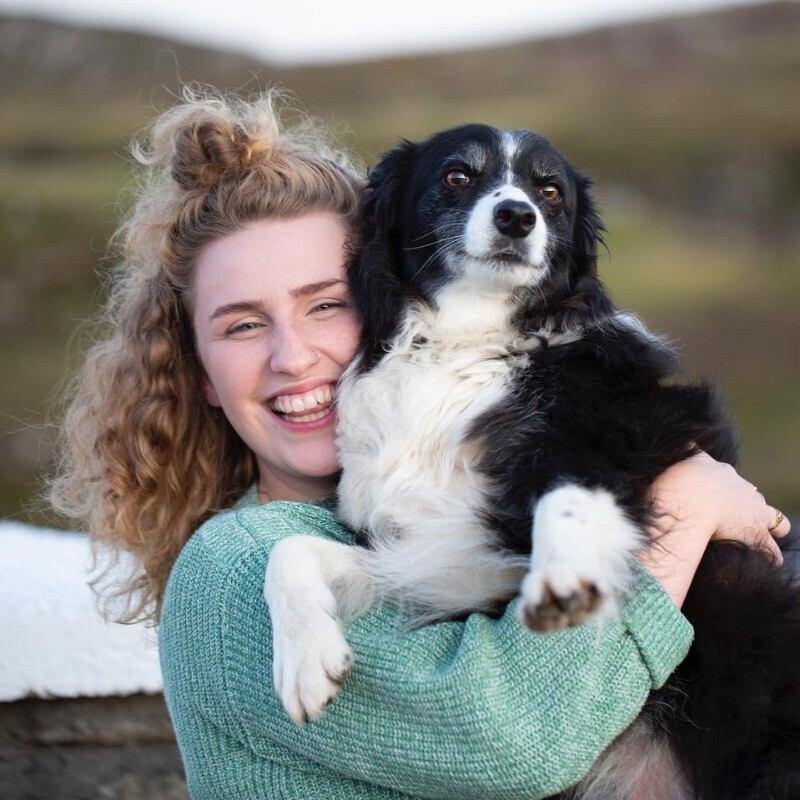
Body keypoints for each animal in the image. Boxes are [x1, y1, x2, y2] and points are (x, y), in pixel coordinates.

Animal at [268, 125, 800, 800]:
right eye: (457, 175)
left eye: (549, 192)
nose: (517, 216)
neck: (465, 343)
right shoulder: (447, 559)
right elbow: (290, 549)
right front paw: (305, 658)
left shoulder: (623, 438)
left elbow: (566, 492)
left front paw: (563, 577)